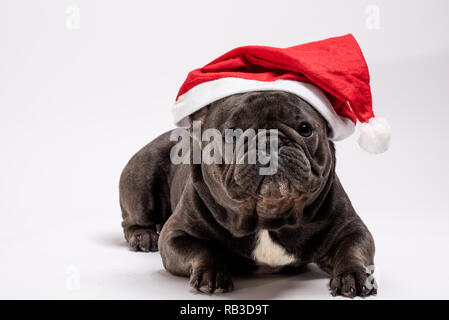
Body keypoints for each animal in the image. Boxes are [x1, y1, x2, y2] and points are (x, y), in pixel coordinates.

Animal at [118, 90, 374, 298]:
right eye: (232, 134)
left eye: (305, 129)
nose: (270, 142)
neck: (269, 215)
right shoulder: (176, 235)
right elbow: (201, 248)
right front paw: (212, 272)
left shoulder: (350, 227)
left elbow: (353, 248)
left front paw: (354, 275)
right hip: (143, 175)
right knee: (133, 219)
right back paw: (143, 236)